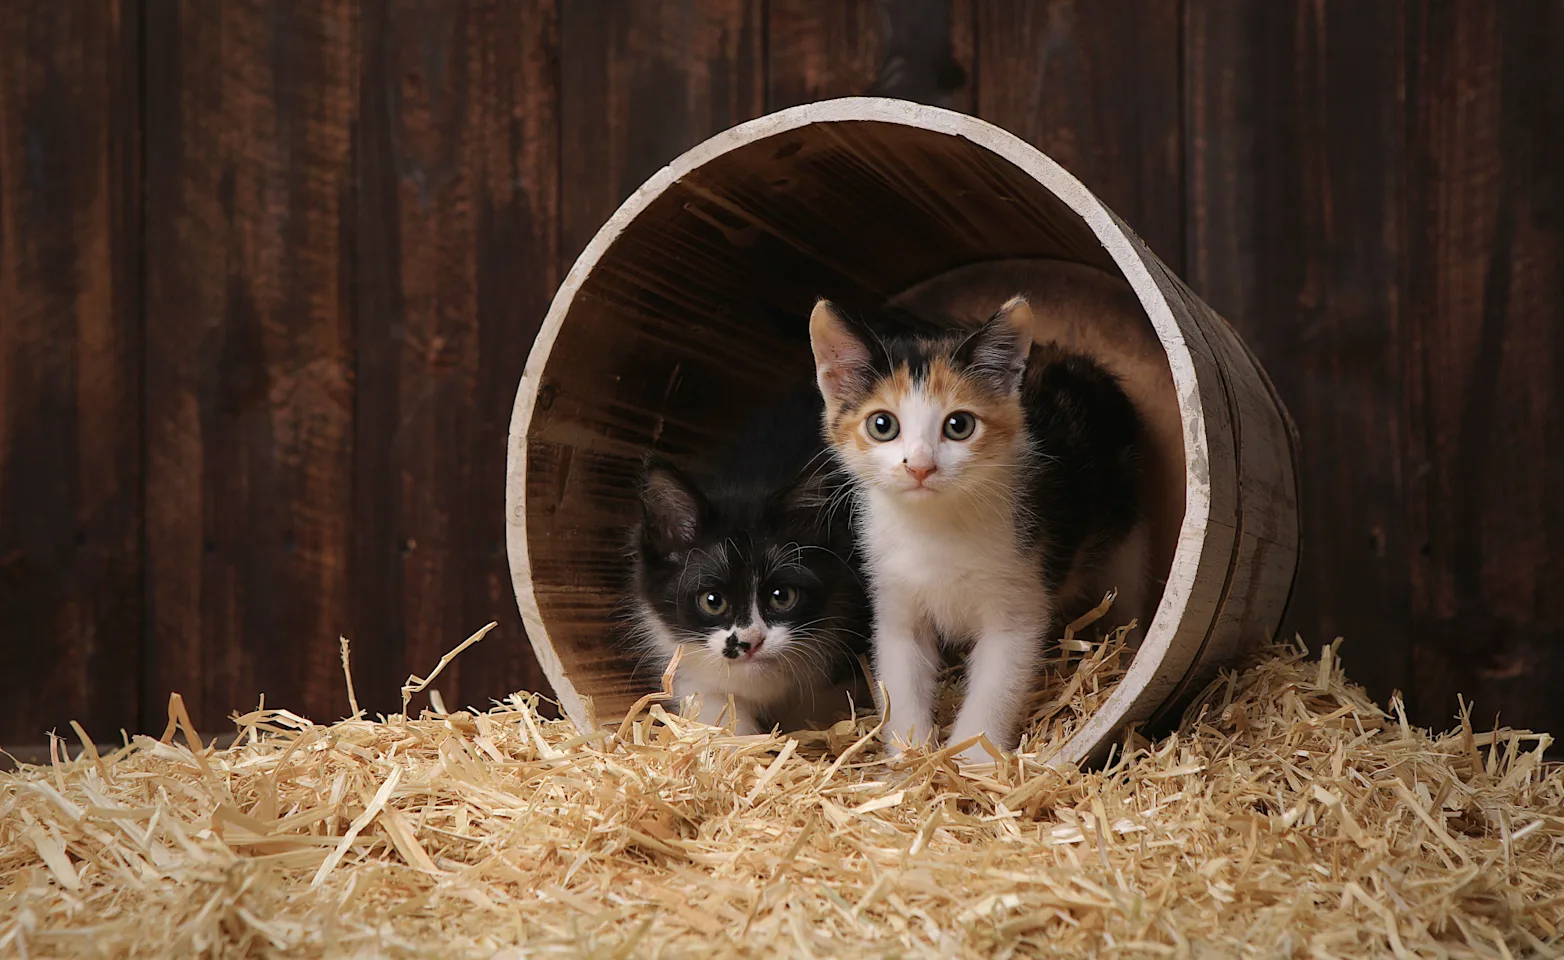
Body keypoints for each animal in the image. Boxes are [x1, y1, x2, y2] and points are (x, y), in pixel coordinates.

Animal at [807, 297, 1151, 762]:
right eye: (882, 425)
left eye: (959, 426)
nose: (920, 467)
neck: (934, 526)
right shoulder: (895, 602)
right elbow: (900, 679)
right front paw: (910, 760)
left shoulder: (1020, 600)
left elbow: (996, 686)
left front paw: (972, 761)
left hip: (1127, 525)